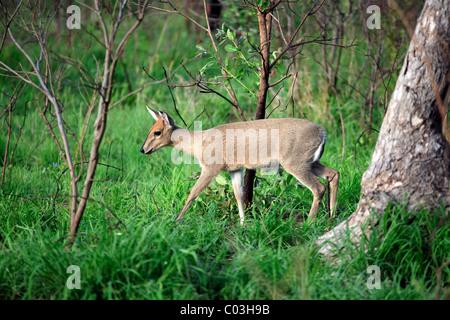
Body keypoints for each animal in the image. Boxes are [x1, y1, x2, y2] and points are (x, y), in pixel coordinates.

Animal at [141, 106, 338, 224]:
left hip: (294, 162)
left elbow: (193, 193)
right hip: (310, 162)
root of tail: (323, 132)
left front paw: (177, 220)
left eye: (157, 132)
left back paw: (309, 223)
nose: (143, 150)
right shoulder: (235, 168)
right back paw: (332, 216)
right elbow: (238, 194)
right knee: (333, 174)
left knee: (318, 187)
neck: (199, 143)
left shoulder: (211, 167)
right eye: (150, 130)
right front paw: (243, 223)